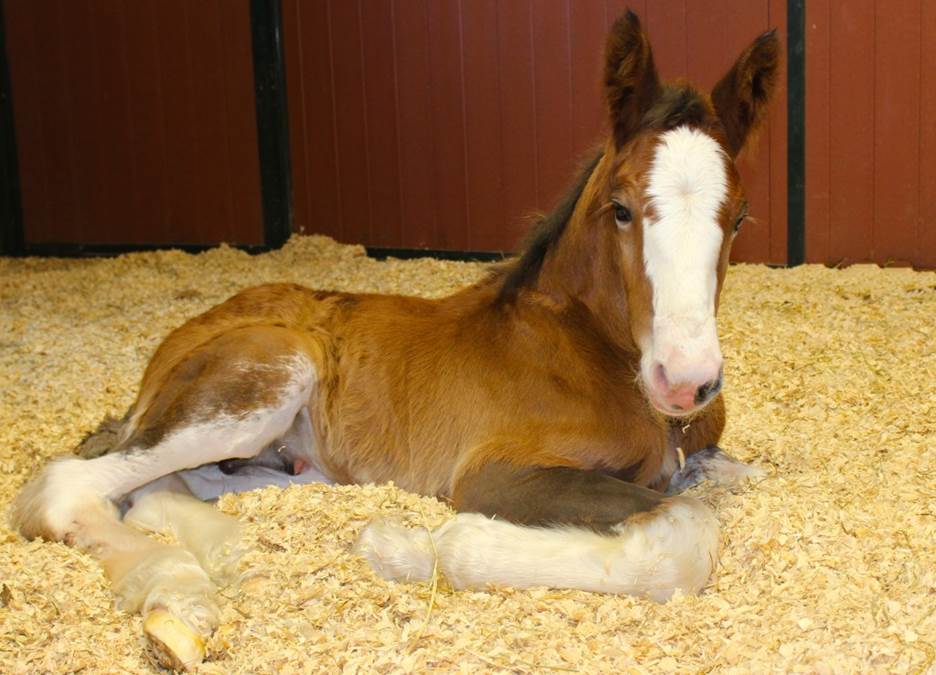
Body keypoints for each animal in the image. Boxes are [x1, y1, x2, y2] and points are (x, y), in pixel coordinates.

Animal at [11, 11, 780, 672]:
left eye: (741, 216)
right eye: (620, 208)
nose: (685, 378)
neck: (590, 347)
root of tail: (179, 341)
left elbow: (729, 479)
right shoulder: (497, 474)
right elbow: (683, 535)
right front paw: (406, 545)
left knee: (162, 490)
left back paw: (230, 556)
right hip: (263, 378)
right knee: (68, 487)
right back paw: (181, 602)